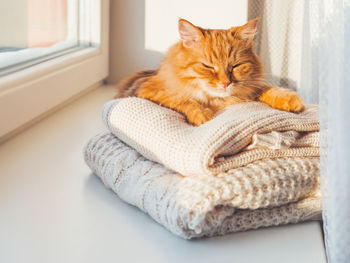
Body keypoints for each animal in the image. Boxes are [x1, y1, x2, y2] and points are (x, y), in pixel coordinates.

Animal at [116, 18, 304, 126]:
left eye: (235, 66)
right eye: (208, 66)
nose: (225, 83)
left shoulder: (251, 88)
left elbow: (266, 89)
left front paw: (291, 100)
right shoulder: (148, 90)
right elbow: (183, 99)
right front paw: (203, 115)